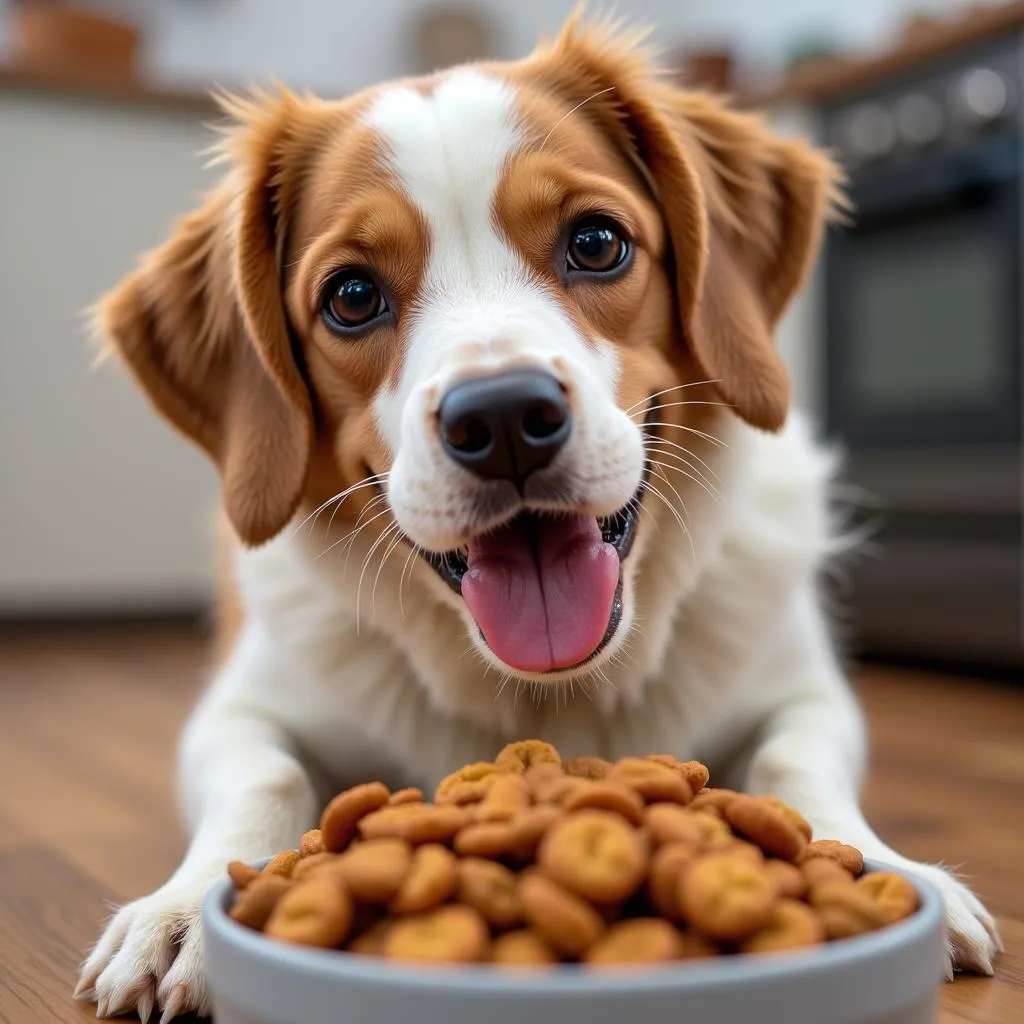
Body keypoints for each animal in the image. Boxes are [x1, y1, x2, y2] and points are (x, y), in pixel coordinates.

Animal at [77, 14, 999, 1015]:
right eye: (351, 296)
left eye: (596, 243)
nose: (504, 419)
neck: (553, 694)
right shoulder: (238, 710)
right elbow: (265, 775)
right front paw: (183, 912)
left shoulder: (807, 694)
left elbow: (794, 766)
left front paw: (879, 866)